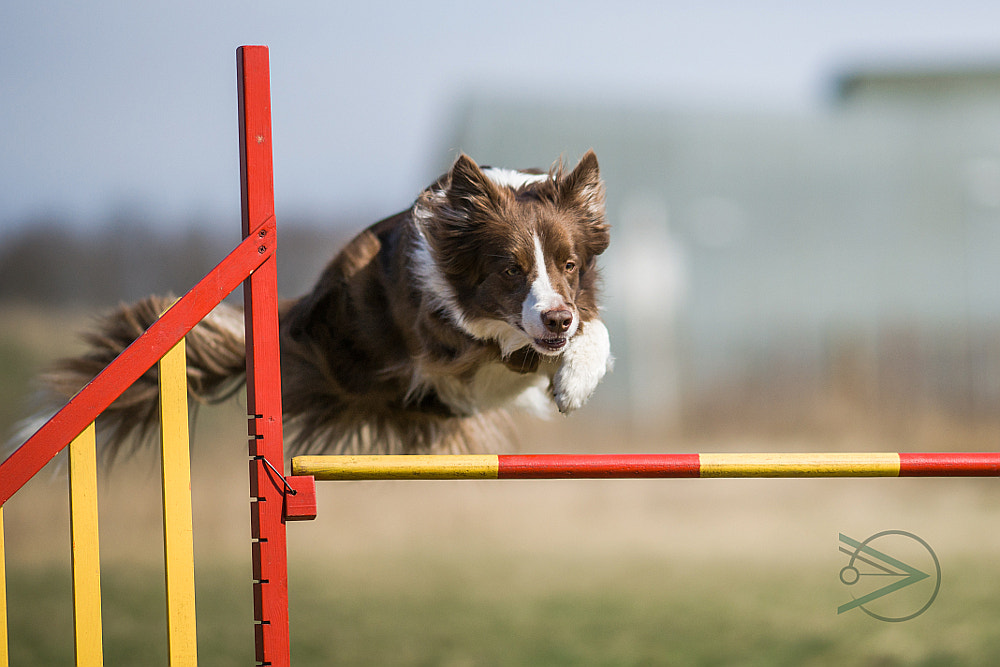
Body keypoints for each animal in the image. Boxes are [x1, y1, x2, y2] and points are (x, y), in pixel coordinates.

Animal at [33, 150, 608, 460]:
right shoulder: (445, 342)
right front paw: (562, 372)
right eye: (511, 268)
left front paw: (574, 380)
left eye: (569, 264)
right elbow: (515, 343)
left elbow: (593, 329)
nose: (557, 317)